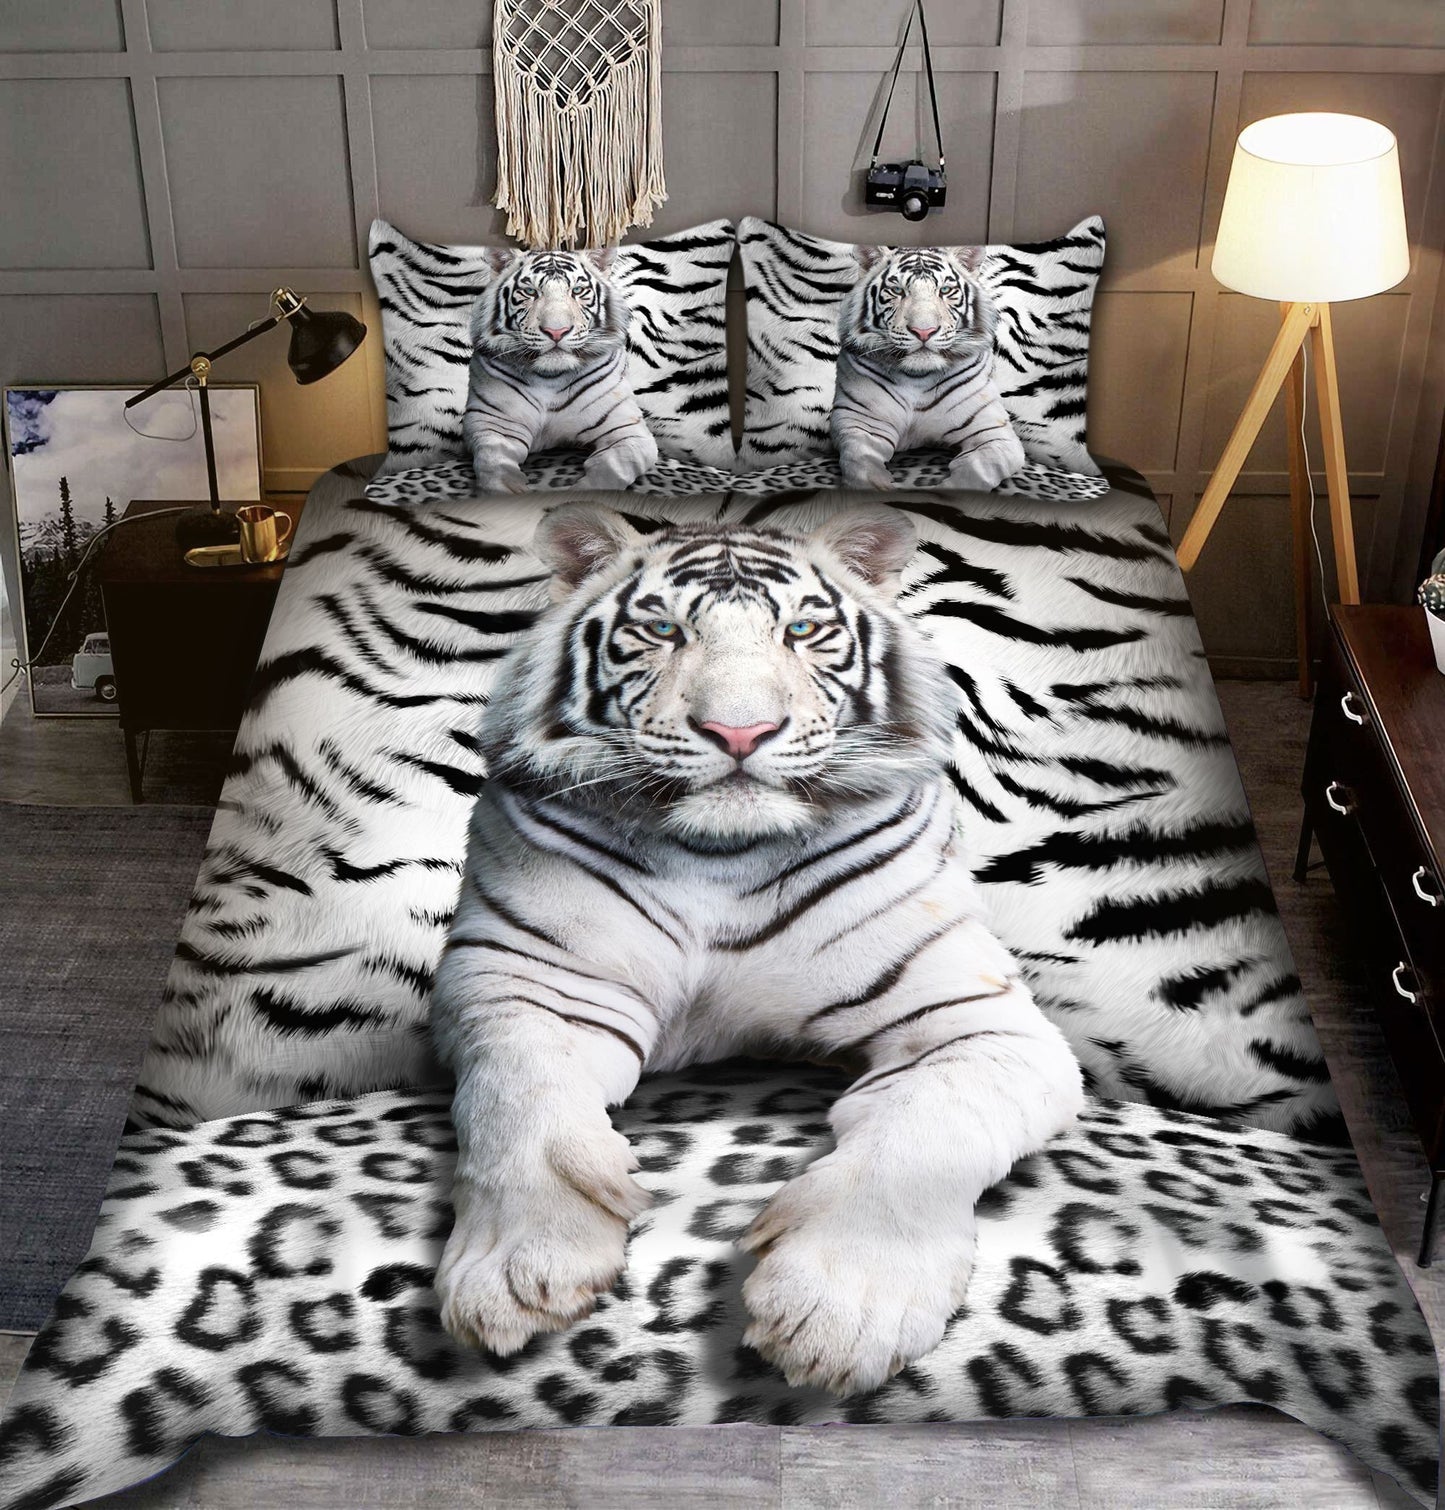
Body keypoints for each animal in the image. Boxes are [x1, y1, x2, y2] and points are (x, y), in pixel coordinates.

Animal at [430, 500, 1085, 1397]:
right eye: (661, 629)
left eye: (802, 630)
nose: (738, 732)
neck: (719, 856)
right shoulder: (524, 982)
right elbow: (515, 1104)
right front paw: (515, 1271)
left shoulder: (977, 1021)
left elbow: (924, 1131)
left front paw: (843, 1306)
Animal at [463, 248, 659, 494]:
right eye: (530, 291)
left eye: (577, 290)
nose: (557, 331)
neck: (550, 377)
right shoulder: (494, 425)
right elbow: (493, 466)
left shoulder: (628, 430)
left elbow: (614, 467)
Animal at [830, 245, 1026, 493]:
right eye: (897, 290)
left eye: (945, 290)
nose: (924, 331)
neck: (917, 377)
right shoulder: (860, 421)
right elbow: (860, 464)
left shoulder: (993, 432)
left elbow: (980, 469)